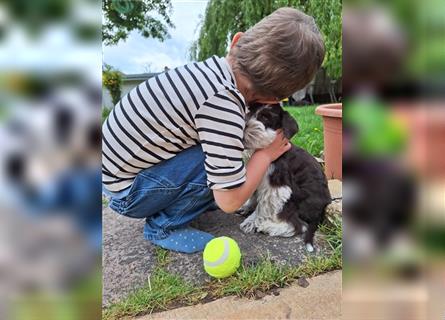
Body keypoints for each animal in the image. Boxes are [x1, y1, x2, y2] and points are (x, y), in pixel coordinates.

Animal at [239, 104, 330, 251]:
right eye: (249, 111)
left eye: (266, 117)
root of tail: (322, 209)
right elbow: (254, 196)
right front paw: (247, 209)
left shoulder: (275, 187)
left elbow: (263, 206)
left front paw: (252, 221)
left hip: (296, 196)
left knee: (301, 225)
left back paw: (270, 227)